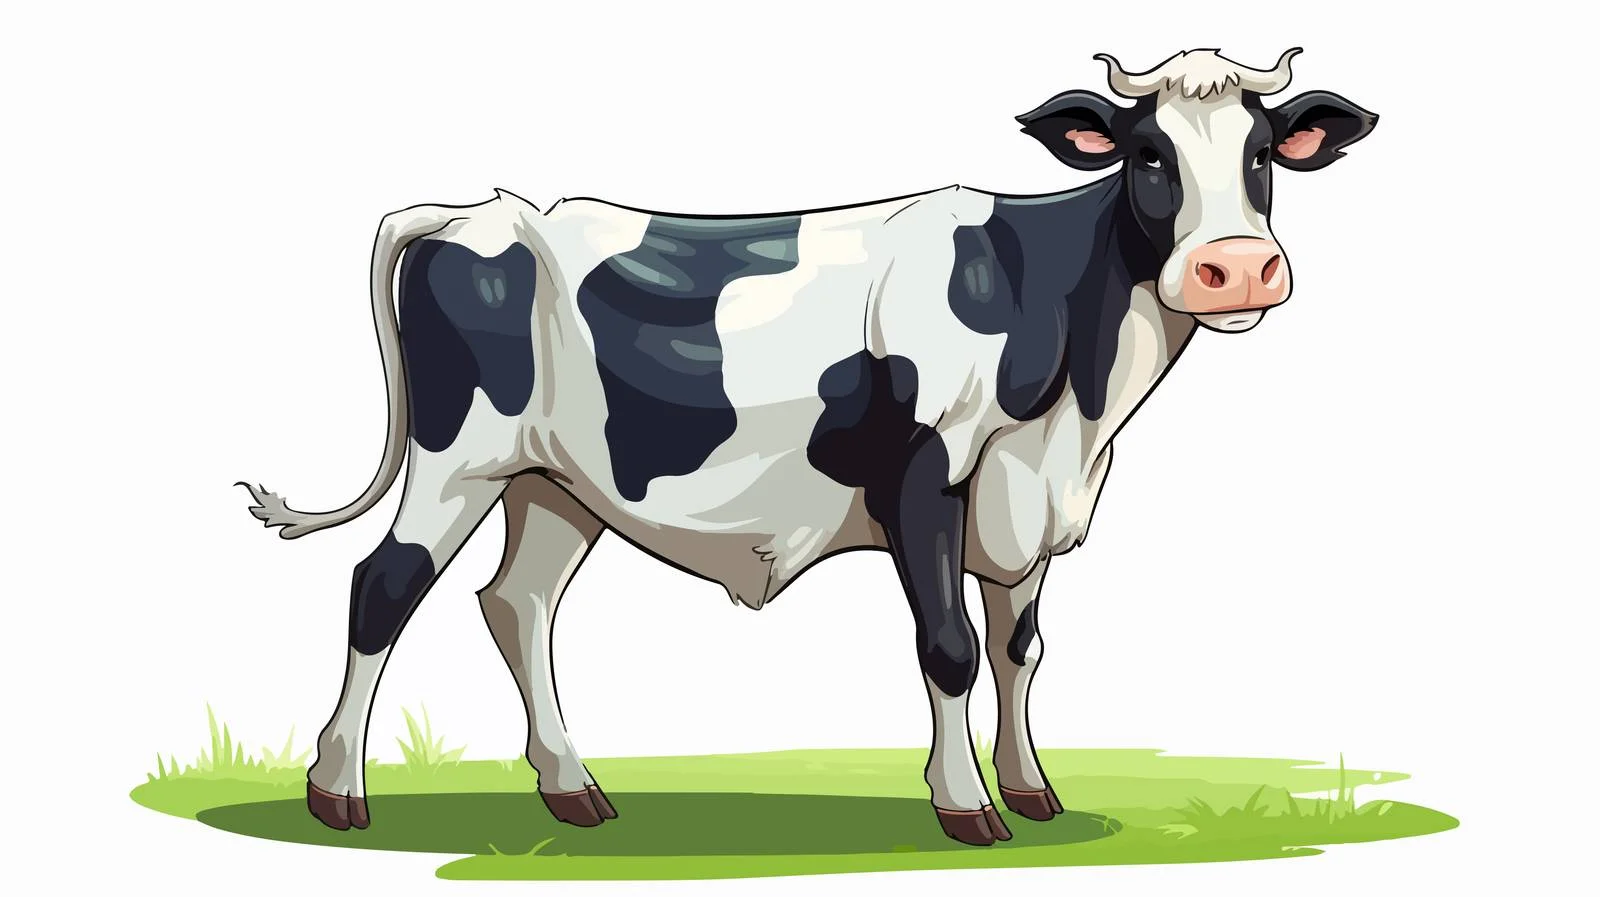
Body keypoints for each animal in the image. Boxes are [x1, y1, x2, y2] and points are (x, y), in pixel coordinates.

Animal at [240, 47, 1377, 846]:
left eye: (1262, 155)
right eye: (1149, 154)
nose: (1237, 267)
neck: (1075, 393)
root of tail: (484, 211)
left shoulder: (1030, 505)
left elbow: (1021, 649)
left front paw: (1033, 789)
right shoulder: (925, 478)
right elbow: (950, 647)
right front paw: (966, 808)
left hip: (555, 484)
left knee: (516, 603)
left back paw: (573, 789)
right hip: (458, 461)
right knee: (382, 585)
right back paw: (336, 790)